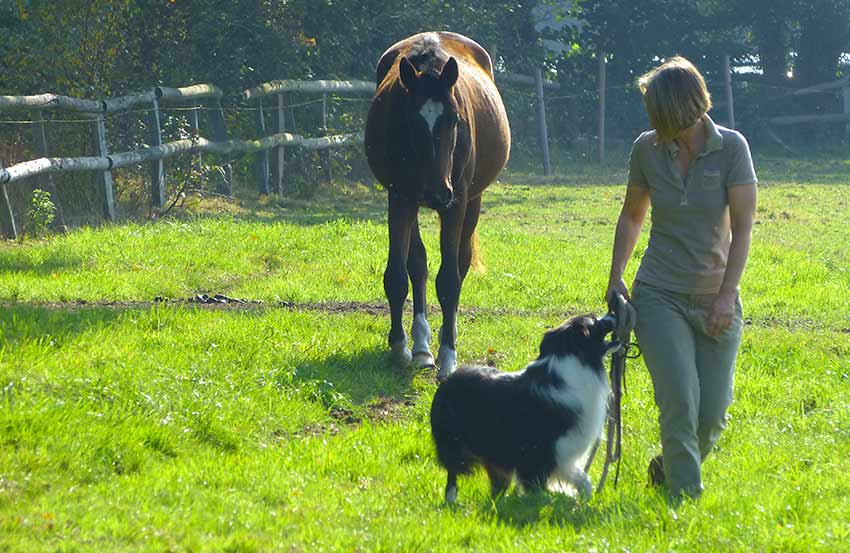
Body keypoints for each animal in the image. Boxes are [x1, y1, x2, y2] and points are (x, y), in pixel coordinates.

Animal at [364, 31, 510, 380]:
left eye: (454, 118)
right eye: (410, 120)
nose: (436, 192)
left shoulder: (455, 204)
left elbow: (449, 280)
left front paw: (448, 356)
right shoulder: (400, 198)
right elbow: (398, 275)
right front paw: (400, 347)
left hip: (471, 201)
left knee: (461, 262)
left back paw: (445, 336)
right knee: (417, 265)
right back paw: (421, 347)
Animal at [430, 314, 616, 500]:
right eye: (594, 320)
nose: (613, 315)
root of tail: (447, 381)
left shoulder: (561, 452)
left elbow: (581, 478)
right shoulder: (543, 452)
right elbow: (540, 484)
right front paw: (541, 500)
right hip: (453, 441)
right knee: (453, 471)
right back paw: (451, 498)